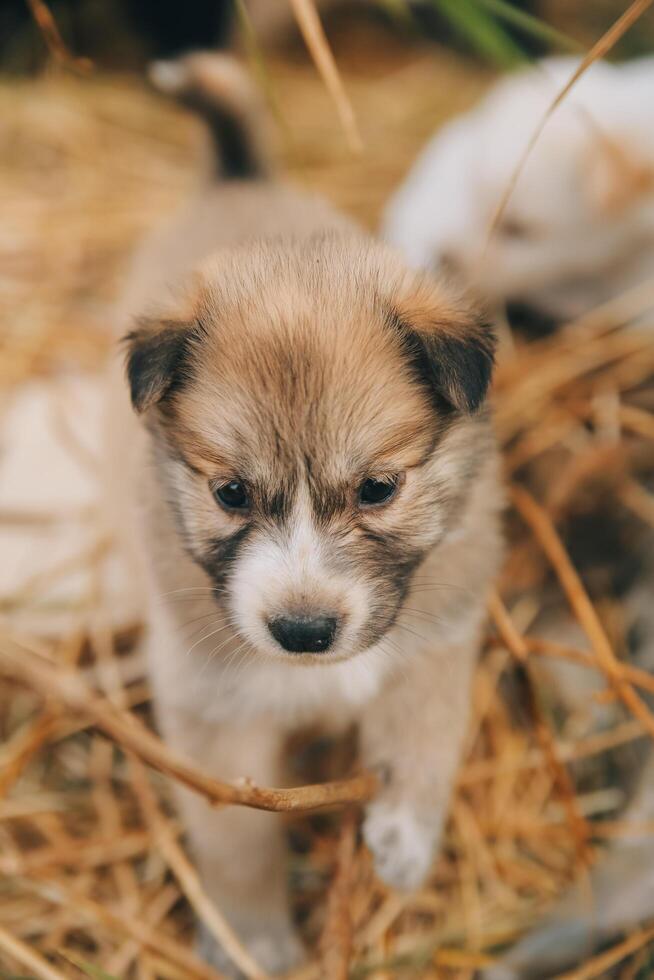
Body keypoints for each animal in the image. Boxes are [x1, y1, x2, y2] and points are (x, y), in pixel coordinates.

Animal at [110, 55, 504, 980]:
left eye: (378, 488)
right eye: (230, 494)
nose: (302, 633)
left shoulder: (438, 640)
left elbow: (426, 734)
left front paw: (405, 840)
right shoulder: (215, 715)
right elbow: (235, 841)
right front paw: (252, 939)